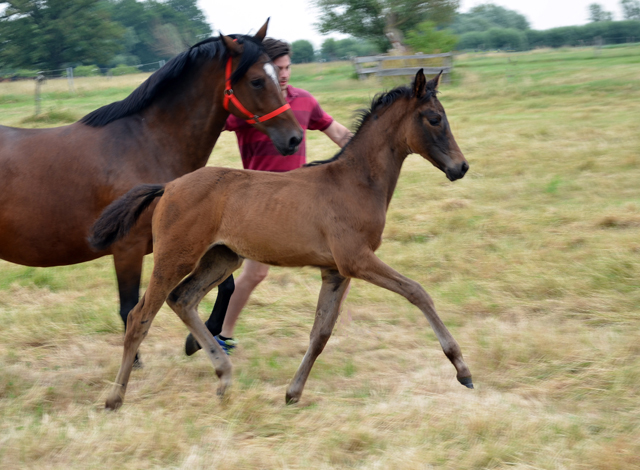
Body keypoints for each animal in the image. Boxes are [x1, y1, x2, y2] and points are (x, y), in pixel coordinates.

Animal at [90, 68, 470, 410]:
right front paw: (462, 369)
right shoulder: (356, 259)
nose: (461, 167)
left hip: (222, 257)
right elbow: (417, 292)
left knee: (183, 299)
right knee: (140, 316)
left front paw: (293, 393)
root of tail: (168, 186)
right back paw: (114, 398)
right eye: (434, 118)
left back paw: (224, 376)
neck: (355, 181)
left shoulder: (335, 271)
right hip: (175, 256)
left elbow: (321, 333)